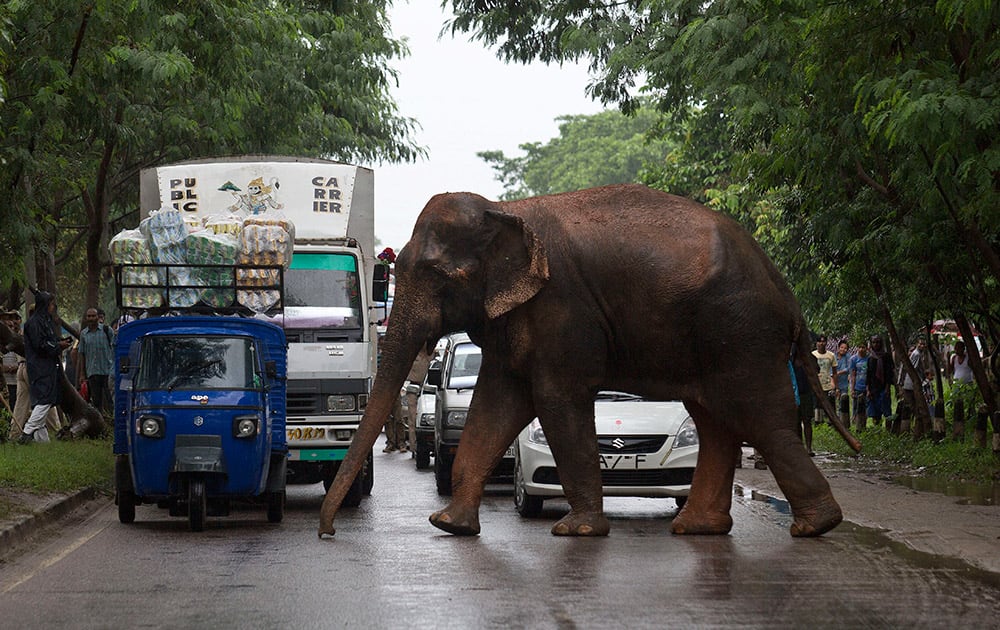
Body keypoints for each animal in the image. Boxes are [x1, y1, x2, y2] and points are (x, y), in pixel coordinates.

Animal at [320, 185, 860, 540]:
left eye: (436, 275)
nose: (328, 533)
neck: (506, 213)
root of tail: (783, 287)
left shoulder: (562, 308)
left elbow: (557, 399)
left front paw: (576, 531)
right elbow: (496, 402)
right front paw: (449, 525)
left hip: (740, 329)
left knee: (757, 414)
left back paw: (815, 526)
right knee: (714, 419)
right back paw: (697, 529)